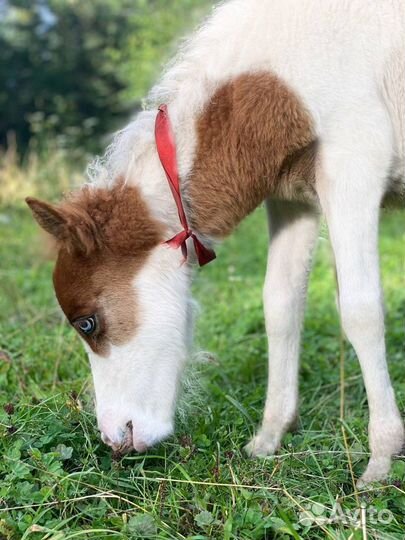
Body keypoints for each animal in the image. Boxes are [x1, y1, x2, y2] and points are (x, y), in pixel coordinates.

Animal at [26, 0, 402, 486]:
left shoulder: (353, 169)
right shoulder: (292, 197)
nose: (114, 437)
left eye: (87, 323)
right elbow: (280, 306)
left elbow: (360, 310)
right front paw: (268, 438)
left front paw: (381, 460)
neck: (279, 79)